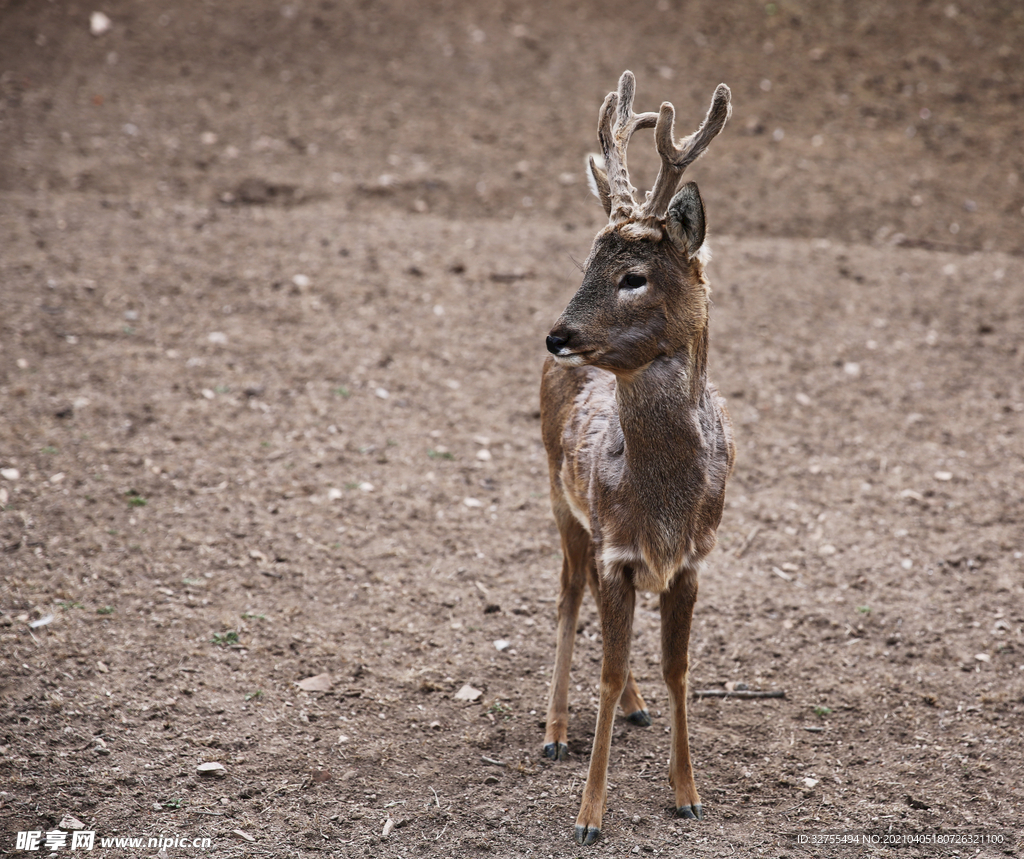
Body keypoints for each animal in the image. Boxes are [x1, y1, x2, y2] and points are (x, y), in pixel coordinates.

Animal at [540, 71, 735, 846]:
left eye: (633, 276)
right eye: (588, 263)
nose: (558, 334)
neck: (663, 501)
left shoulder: (690, 557)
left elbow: (680, 669)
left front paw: (688, 793)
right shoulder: (615, 544)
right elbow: (605, 665)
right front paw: (589, 816)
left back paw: (635, 704)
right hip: (560, 499)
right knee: (569, 595)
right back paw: (555, 730)